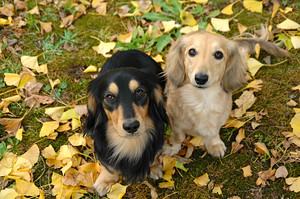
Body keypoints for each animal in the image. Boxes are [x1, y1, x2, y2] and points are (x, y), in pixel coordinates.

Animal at [84, 49, 169, 196]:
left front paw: (154, 167)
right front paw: (105, 180)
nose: (131, 127)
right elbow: (109, 166)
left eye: (140, 92)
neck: (130, 142)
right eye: (110, 97)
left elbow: (154, 154)